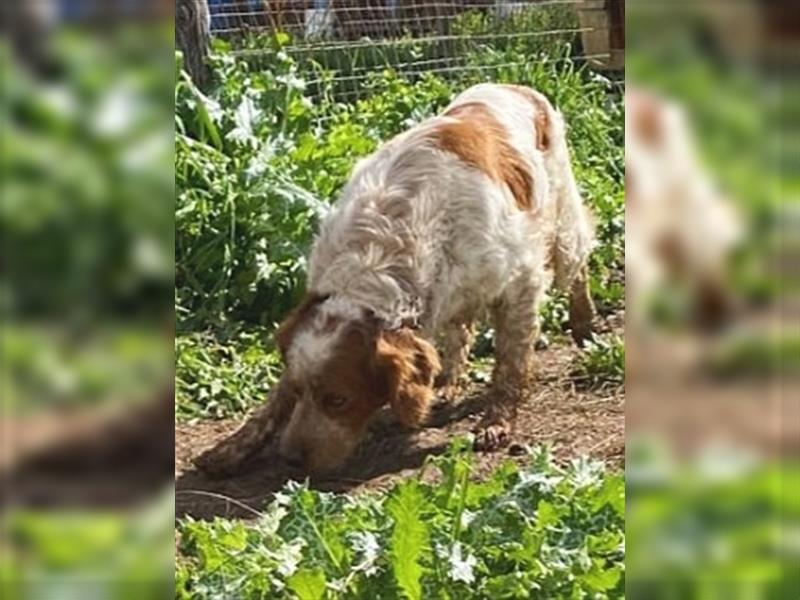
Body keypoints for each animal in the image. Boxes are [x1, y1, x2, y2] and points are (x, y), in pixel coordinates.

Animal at [195, 84, 592, 476]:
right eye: (298, 391)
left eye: (337, 400)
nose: (291, 459)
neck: (378, 256)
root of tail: (516, 86)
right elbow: (270, 404)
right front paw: (233, 447)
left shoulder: (519, 283)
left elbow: (510, 365)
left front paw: (496, 421)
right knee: (459, 331)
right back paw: (445, 385)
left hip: (562, 229)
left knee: (579, 265)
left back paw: (585, 328)